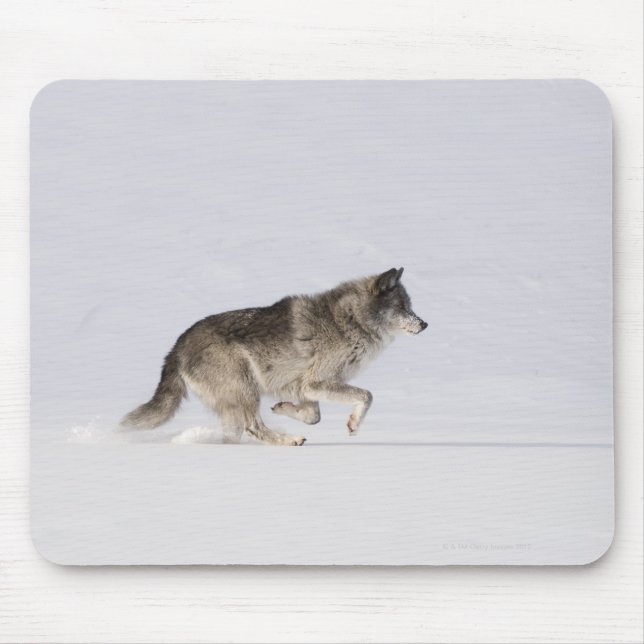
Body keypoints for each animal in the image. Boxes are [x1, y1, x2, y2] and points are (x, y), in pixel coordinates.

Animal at [121, 267, 427, 446]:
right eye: (402, 307)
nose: (424, 324)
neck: (350, 321)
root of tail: (176, 347)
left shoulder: (305, 388)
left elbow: (312, 416)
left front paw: (283, 408)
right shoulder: (316, 382)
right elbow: (366, 395)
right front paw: (353, 425)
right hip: (246, 388)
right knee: (253, 427)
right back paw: (290, 441)